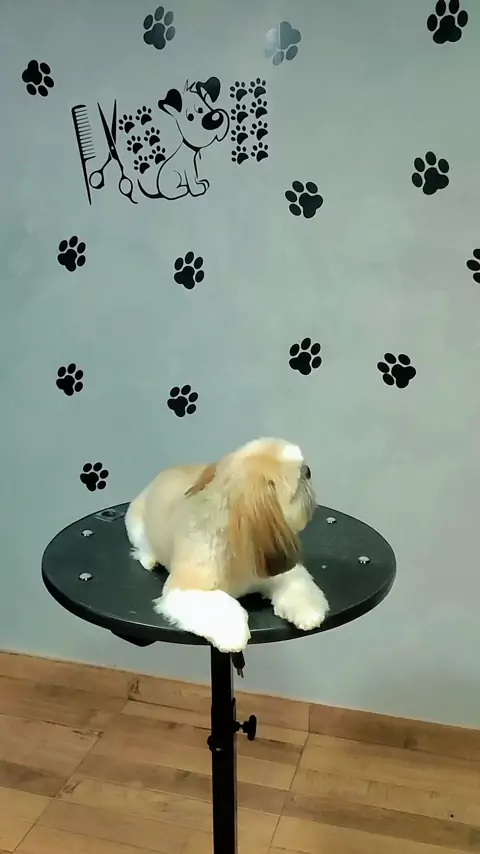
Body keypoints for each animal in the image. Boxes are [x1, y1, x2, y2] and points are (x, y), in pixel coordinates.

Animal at [125, 438, 330, 652]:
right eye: (298, 484)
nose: (307, 470)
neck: (237, 550)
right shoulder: (185, 588)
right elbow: (222, 606)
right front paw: (232, 634)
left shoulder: (272, 566)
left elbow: (297, 585)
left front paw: (308, 611)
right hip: (135, 525)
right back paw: (150, 559)